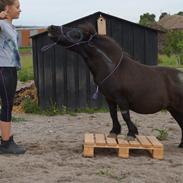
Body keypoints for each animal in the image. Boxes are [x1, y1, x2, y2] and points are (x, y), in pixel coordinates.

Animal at [46, 22, 183, 147]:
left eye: (76, 32)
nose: (51, 27)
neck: (113, 68)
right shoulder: (110, 99)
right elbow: (113, 114)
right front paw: (114, 132)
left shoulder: (121, 99)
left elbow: (125, 116)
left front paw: (131, 134)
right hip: (173, 109)